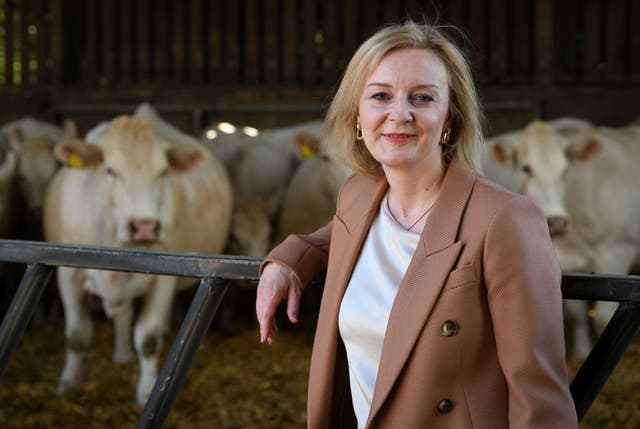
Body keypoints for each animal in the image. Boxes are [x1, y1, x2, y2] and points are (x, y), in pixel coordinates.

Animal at [45, 115, 235, 402]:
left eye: (164, 171)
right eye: (110, 170)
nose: (145, 226)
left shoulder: (163, 280)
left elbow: (148, 339)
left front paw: (146, 391)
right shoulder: (67, 274)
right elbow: (77, 334)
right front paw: (68, 381)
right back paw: (122, 354)